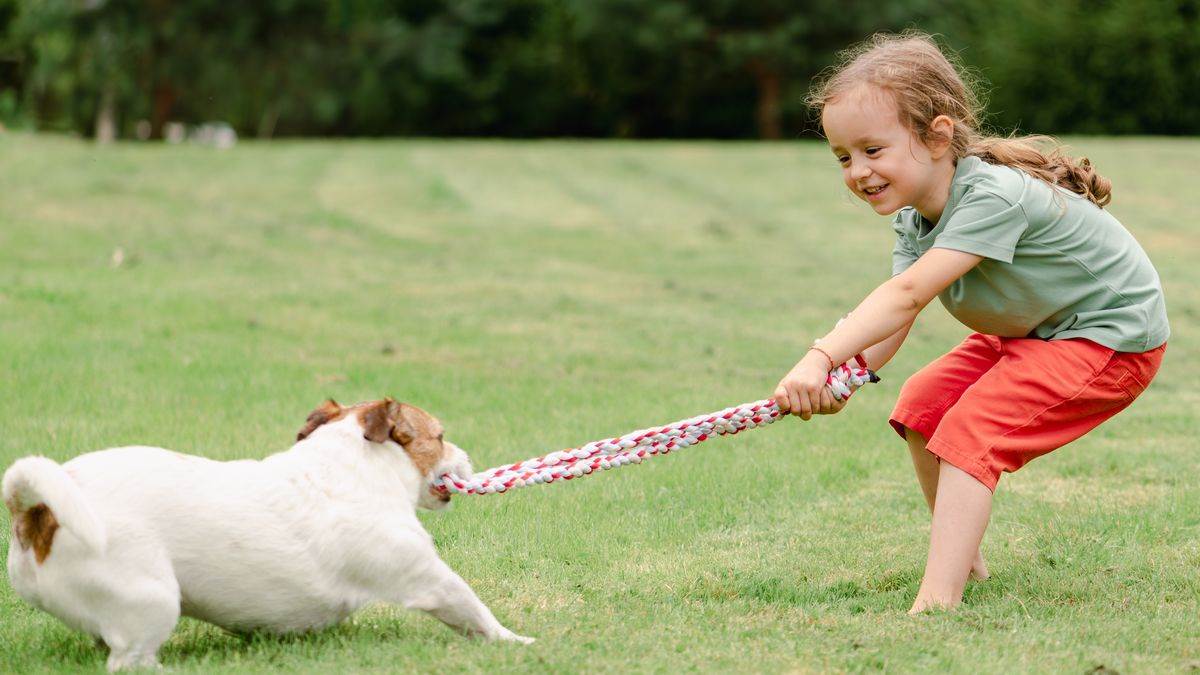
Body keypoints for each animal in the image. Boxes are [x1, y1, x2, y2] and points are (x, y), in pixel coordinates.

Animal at [4, 396, 530, 667]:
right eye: (439, 436)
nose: (468, 458)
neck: (350, 467)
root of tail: (39, 514)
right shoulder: (428, 578)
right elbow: (476, 612)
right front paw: (518, 643)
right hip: (151, 600)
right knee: (129, 661)